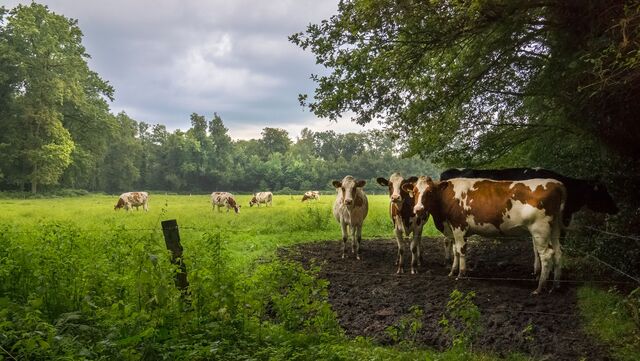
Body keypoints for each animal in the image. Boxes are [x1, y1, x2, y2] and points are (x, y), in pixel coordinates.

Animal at [402, 176, 568, 294]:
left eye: (429, 192)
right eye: (414, 192)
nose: (418, 209)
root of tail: (557, 184)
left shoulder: (459, 226)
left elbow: (461, 251)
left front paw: (461, 274)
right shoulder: (455, 230)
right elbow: (456, 251)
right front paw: (452, 272)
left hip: (539, 229)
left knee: (546, 254)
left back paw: (539, 288)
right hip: (555, 228)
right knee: (558, 252)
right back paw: (556, 285)